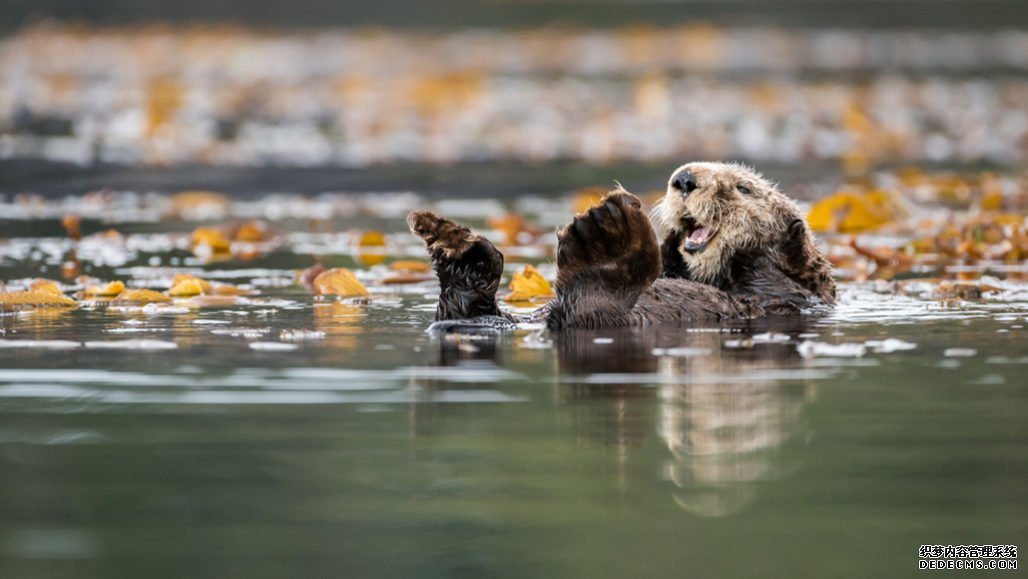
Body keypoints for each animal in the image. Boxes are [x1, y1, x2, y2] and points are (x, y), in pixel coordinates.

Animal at [407, 162, 834, 331]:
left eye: (743, 187)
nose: (684, 178)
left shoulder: (785, 292)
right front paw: (671, 243)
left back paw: (603, 235)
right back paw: (450, 240)